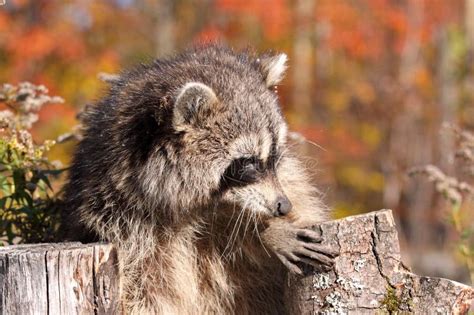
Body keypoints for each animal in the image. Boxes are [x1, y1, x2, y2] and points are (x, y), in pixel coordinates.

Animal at [63, 45, 336, 315]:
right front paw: (263, 233)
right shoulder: (119, 217)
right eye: (247, 163)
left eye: (275, 155)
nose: (283, 206)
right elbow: (143, 288)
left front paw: (261, 229)